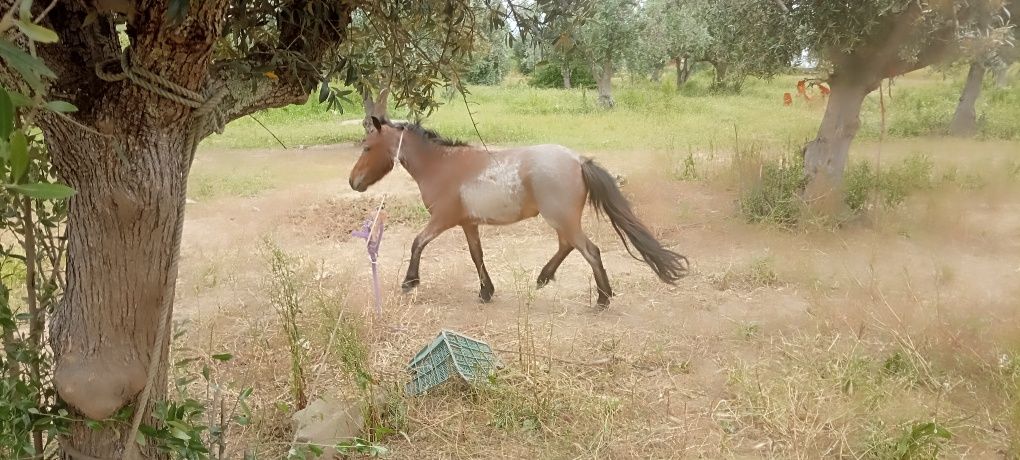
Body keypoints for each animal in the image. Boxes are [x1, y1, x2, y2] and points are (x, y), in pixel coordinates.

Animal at [346, 117, 689, 308]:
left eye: (366, 147)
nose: (353, 182)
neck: (441, 166)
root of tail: (578, 160)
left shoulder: (442, 220)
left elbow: (418, 243)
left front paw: (410, 281)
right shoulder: (468, 224)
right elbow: (477, 255)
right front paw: (486, 291)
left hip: (561, 219)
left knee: (589, 250)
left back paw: (603, 298)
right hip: (562, 221)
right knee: (568, 245)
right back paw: (544, 277)